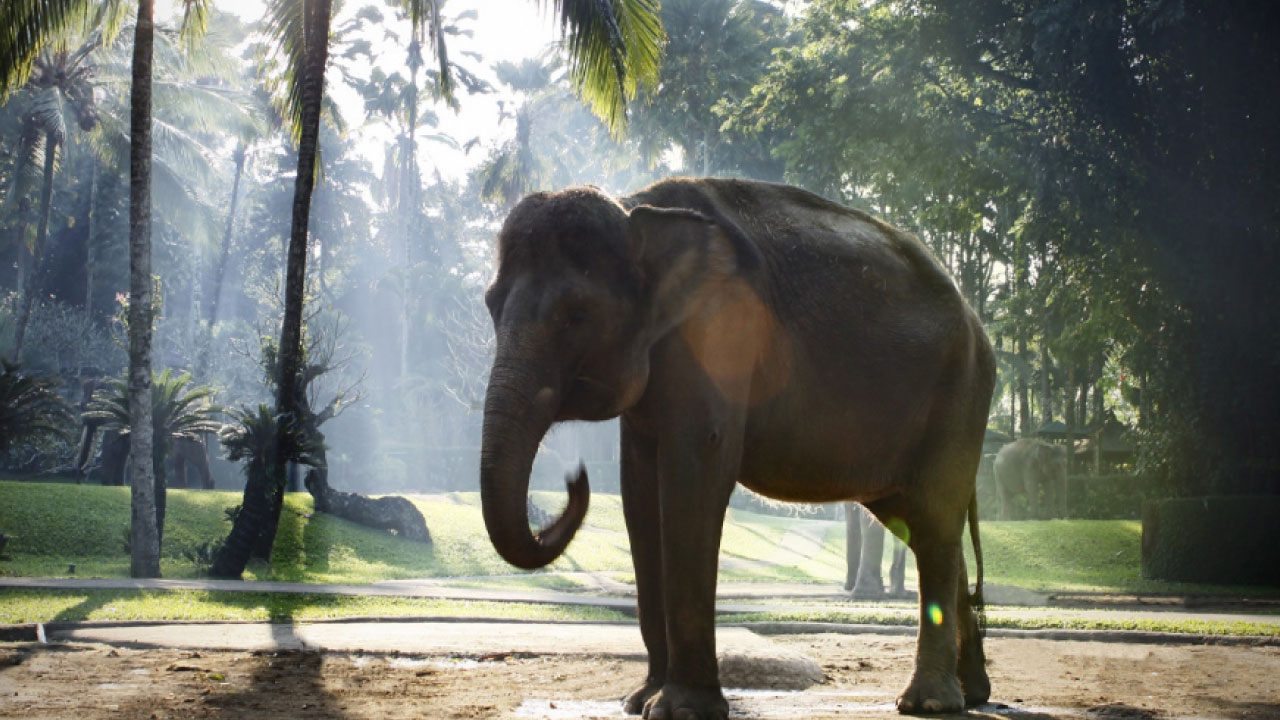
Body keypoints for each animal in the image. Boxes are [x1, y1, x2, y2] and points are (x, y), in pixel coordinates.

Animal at [477, 178, 996, 717]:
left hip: (959, 399)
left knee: (933, 523)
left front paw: (680, 709)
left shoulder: (720, 333)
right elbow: (639, 493)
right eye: (491, 305)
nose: (574, 477)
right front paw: (639, 700)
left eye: (576, 314)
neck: (637, 208)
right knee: (926, 526)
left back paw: (928, 703)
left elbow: (695, 472)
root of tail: (976, 320)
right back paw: (973, 693)